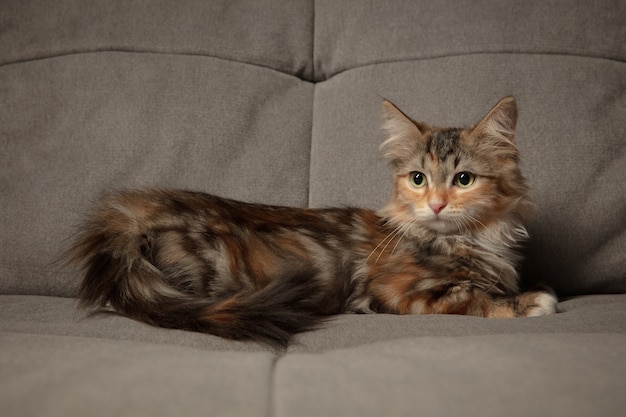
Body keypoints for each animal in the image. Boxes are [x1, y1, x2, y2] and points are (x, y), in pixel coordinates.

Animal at [67, 96, 556, 344]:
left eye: (463, 179)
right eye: (418, 179)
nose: (435, 204)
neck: (471, 239)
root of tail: (137, 210)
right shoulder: (398, 292)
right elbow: (474, 297)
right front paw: (532, 301)